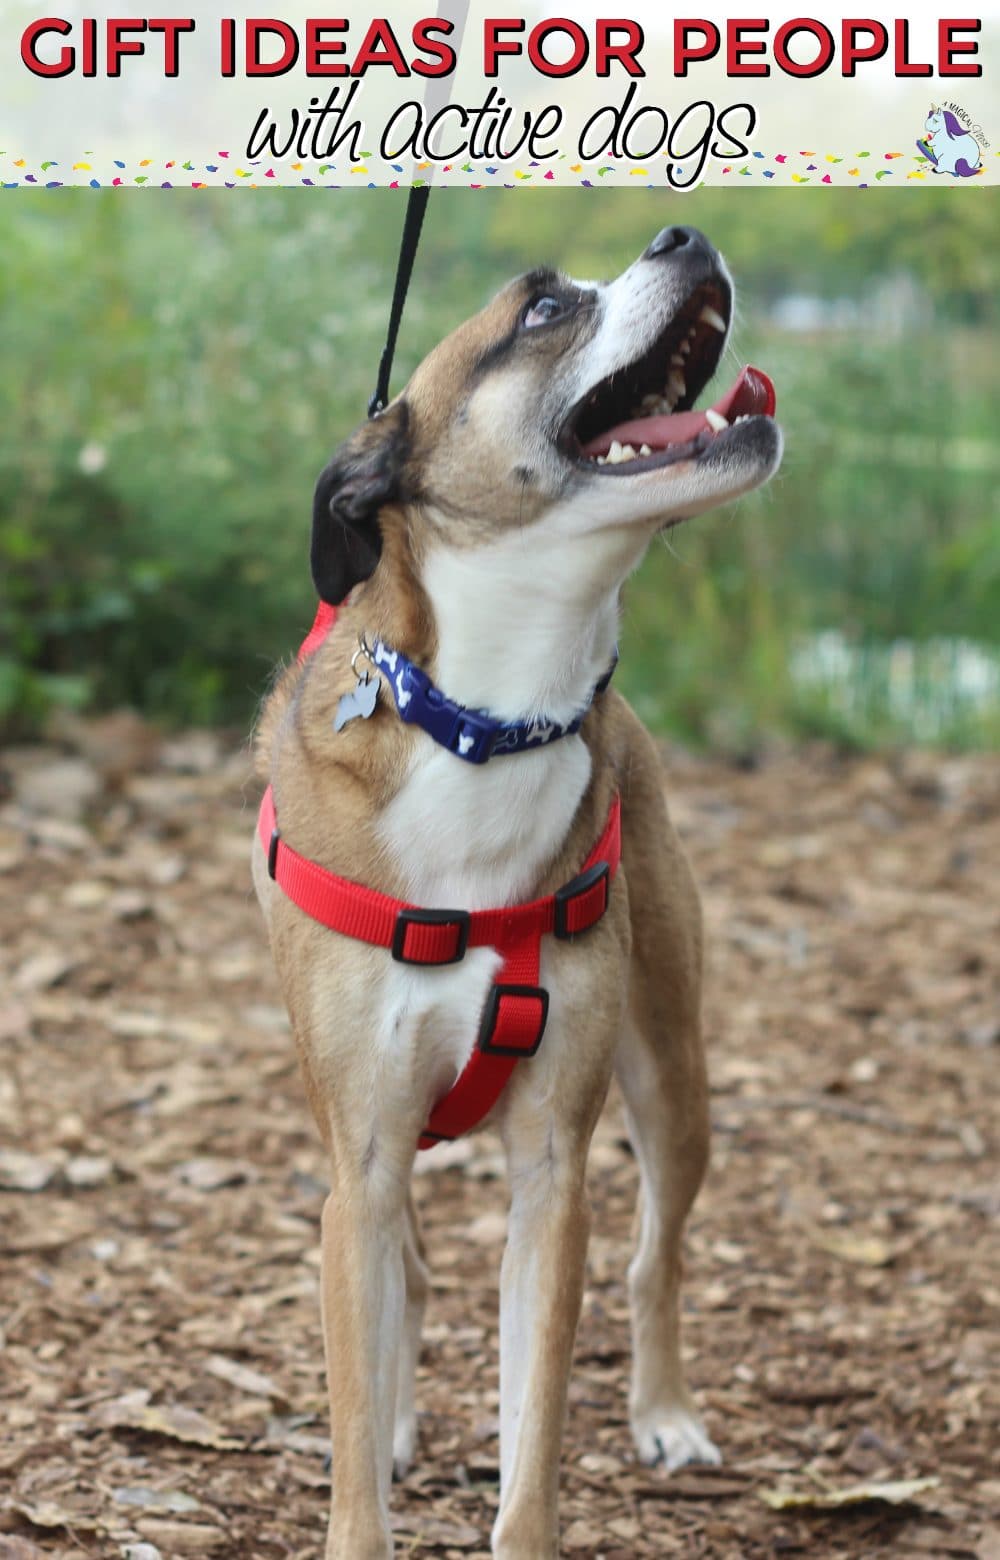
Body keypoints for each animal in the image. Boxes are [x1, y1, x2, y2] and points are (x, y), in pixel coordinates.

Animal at [249, 223, 780, 1560]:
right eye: (542, 308)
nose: (683, 232)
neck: (490, 725)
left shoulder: (553, 1177)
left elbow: (533, 1428)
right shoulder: (360, 1158)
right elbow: (355, 1409)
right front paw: (370, 1463)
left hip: (671, 1070)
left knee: (656, 1260)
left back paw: (665, 1414)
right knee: (402, 1276)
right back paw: (398, 1419)